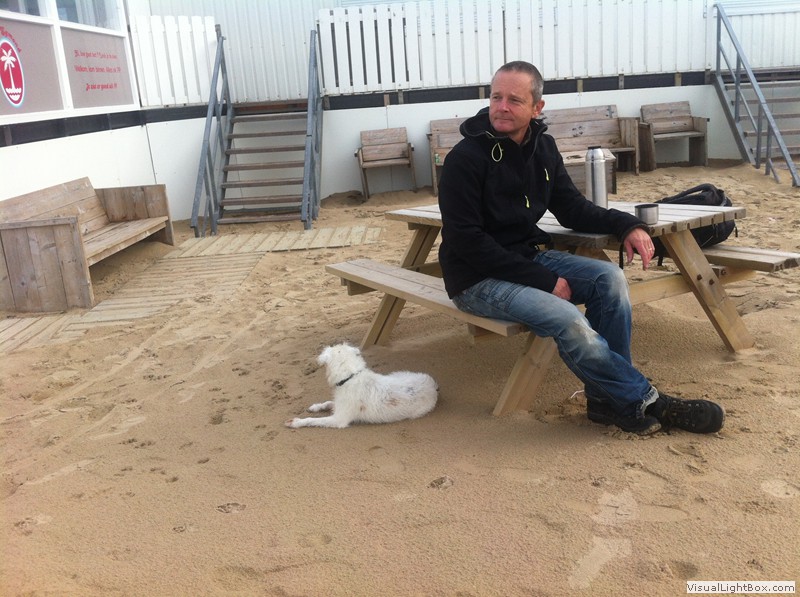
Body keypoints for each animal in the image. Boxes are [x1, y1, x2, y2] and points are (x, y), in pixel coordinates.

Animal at [285, 343, 438, 429]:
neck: (350, 377)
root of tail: (433, 385)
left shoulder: (339, 419)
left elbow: (314, 420)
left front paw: (296, 422)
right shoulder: (340, 406)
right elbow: (328, 402)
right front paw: (315, 407)